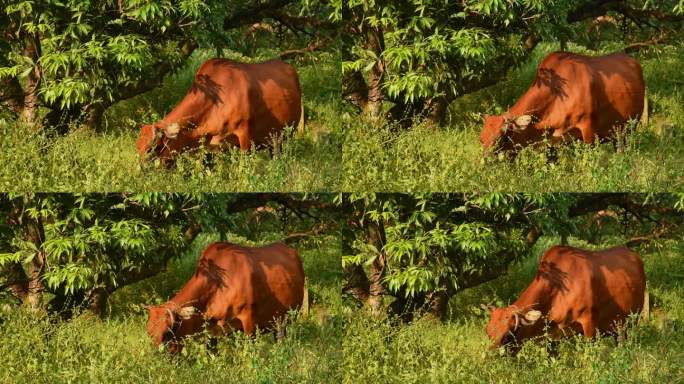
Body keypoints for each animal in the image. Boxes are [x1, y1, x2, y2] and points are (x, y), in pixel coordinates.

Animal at [136, 58, 302, 162]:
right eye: (138, 148)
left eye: (152, 149)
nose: (143, 173)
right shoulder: (209, 147)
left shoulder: (244, 137)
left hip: (287, 133)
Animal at [148, 243, 306, 354]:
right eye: (149, 333)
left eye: (167, 333)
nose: (157, 358)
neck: (217, 284)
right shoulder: (211, 329)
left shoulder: (249, 321)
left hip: (288, 317)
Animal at [478, 52, 644, 154]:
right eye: (481, 139)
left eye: (501, 138)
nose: (486, 161)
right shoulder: (552, 141)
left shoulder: (587, 129)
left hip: (630, 126)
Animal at [486, 246, 648, 352]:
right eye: (488, 332)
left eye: (507, 336)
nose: (492, 357)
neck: (557, 287)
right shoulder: (552, 336)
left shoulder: (589, 323)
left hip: (632, 320)